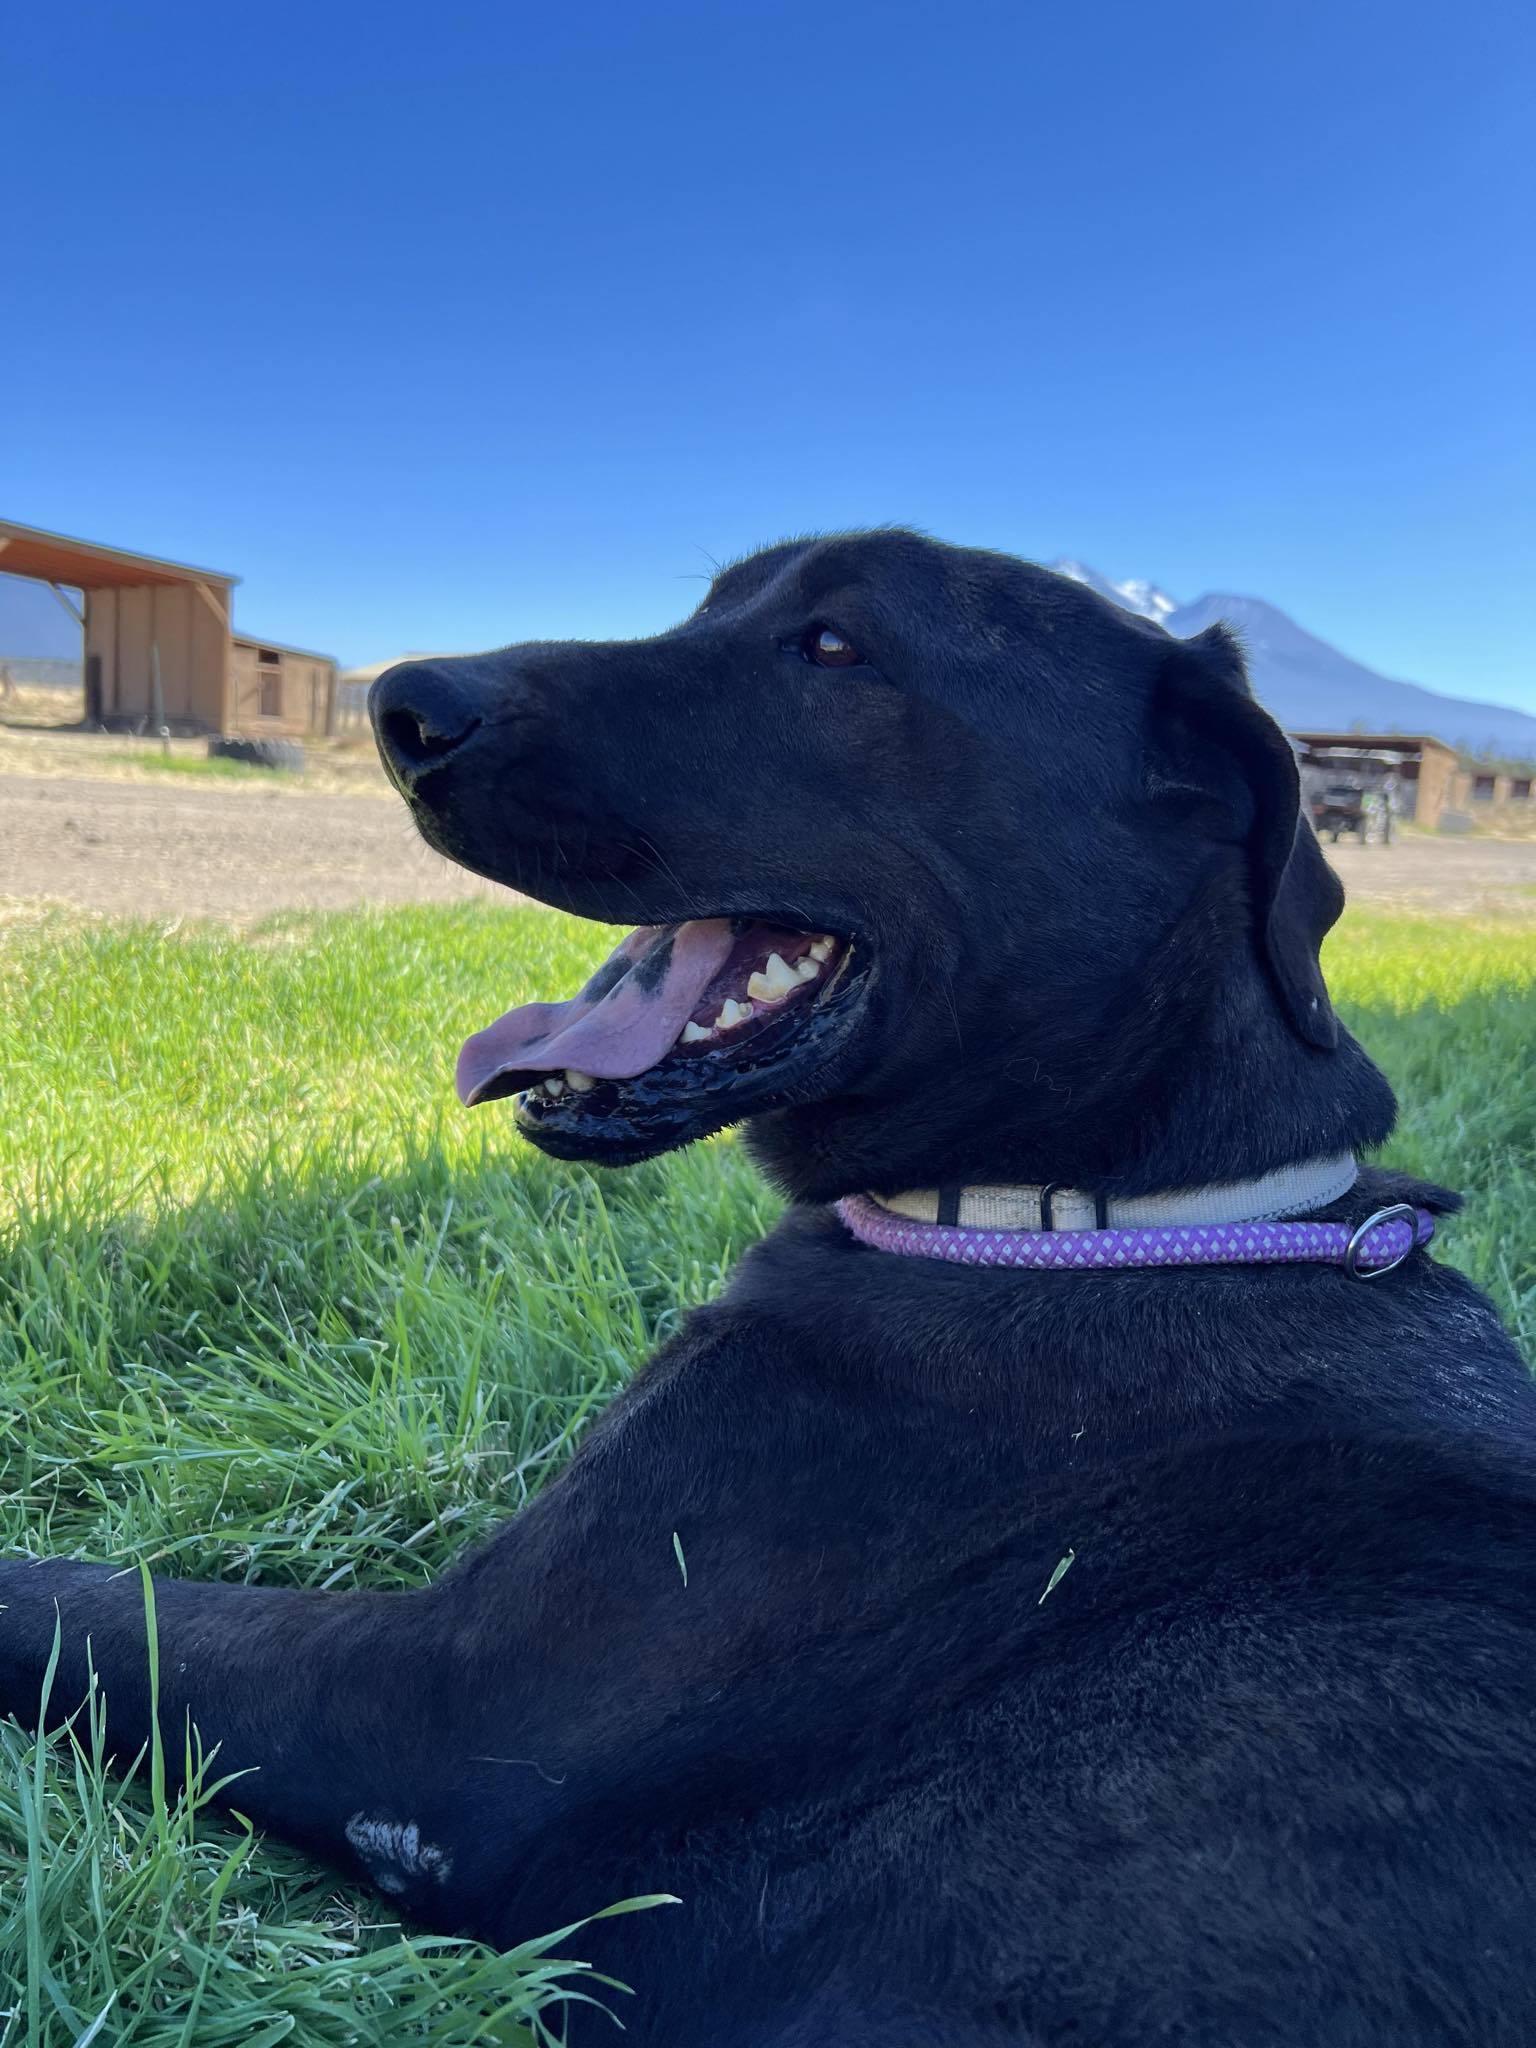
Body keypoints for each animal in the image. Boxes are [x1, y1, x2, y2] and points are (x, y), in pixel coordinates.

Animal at [3, 532, 1536, 2048]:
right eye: (711, 605)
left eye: (835, 646)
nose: (402, 708)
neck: (1095, 1218)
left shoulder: (428, 1704)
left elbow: (70, 1596)